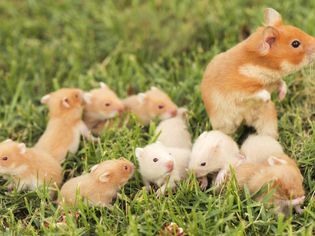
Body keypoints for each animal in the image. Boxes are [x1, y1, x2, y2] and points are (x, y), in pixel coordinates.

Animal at [201, 7, 315, 138]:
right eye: (295, 43)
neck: (261, 65)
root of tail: (244, 120)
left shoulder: (272, 81)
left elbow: (281, 83)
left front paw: (281, 97)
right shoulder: (239, 89)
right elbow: (256, 92)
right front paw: (268, 98)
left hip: (267, 118)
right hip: (224, 124)